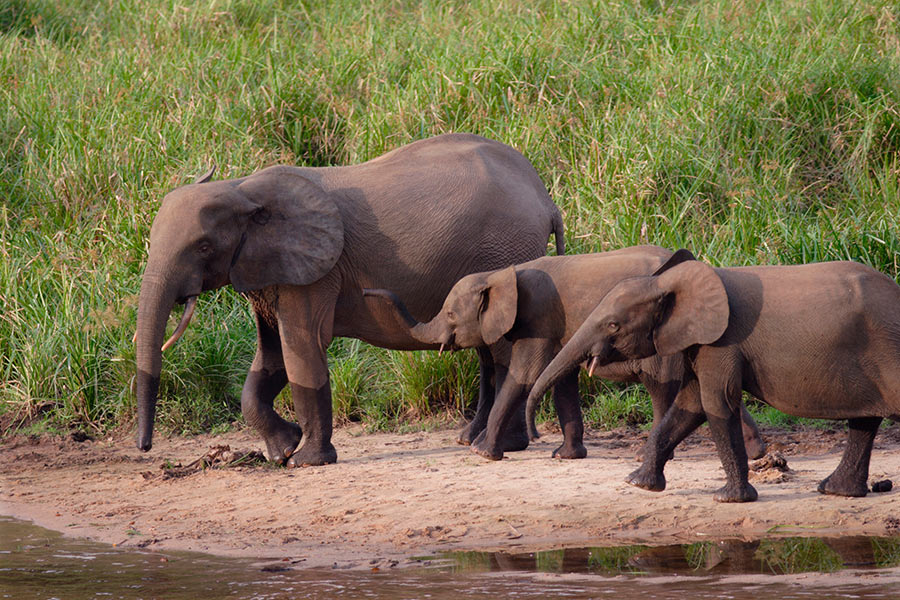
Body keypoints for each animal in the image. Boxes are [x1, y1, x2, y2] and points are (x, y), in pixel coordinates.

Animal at [134, 134, 564, 466]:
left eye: (203, 247)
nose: (145, 447)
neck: (242, 188)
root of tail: (547, 200)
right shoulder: (271, 270)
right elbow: (270, 358)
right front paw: (283, 450)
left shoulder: (317, 273)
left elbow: (301, 349)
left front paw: (306, 461)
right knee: (486, 350)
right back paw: (470, 439)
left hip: (506, 252)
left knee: (503, 350)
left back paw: (499, 446)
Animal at [362, 246, 764, 462]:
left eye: (449, 314)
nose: (365, 292)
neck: (501, 274)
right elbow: (562, 382)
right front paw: (564, 457)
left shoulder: (540, 317)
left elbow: (524, 376)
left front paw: (481, 454)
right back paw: (758, 453)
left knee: (660, 386)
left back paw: (644, 455)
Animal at [528, 248, 900, 502]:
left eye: (613, 325)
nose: (535, 436)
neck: (669, 283)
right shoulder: (701, 343)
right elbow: (689, 406)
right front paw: (638, 483)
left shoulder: (723, 342)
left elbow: (715, 404)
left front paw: (729, 499)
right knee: (864, 422)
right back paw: (836, 491)